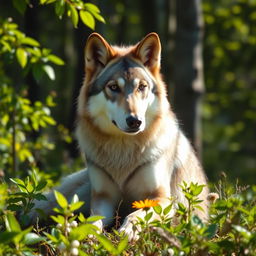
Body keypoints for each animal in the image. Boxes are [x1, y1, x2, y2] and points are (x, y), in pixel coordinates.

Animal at [31, 32, 209, 240]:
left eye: (141, 87)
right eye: (114, 87)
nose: (135, 121)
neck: (122, 151)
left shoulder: (161, 197)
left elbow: (137, 213)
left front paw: (128, 230)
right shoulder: (103, 198)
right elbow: (92, 220)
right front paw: (85, 232)